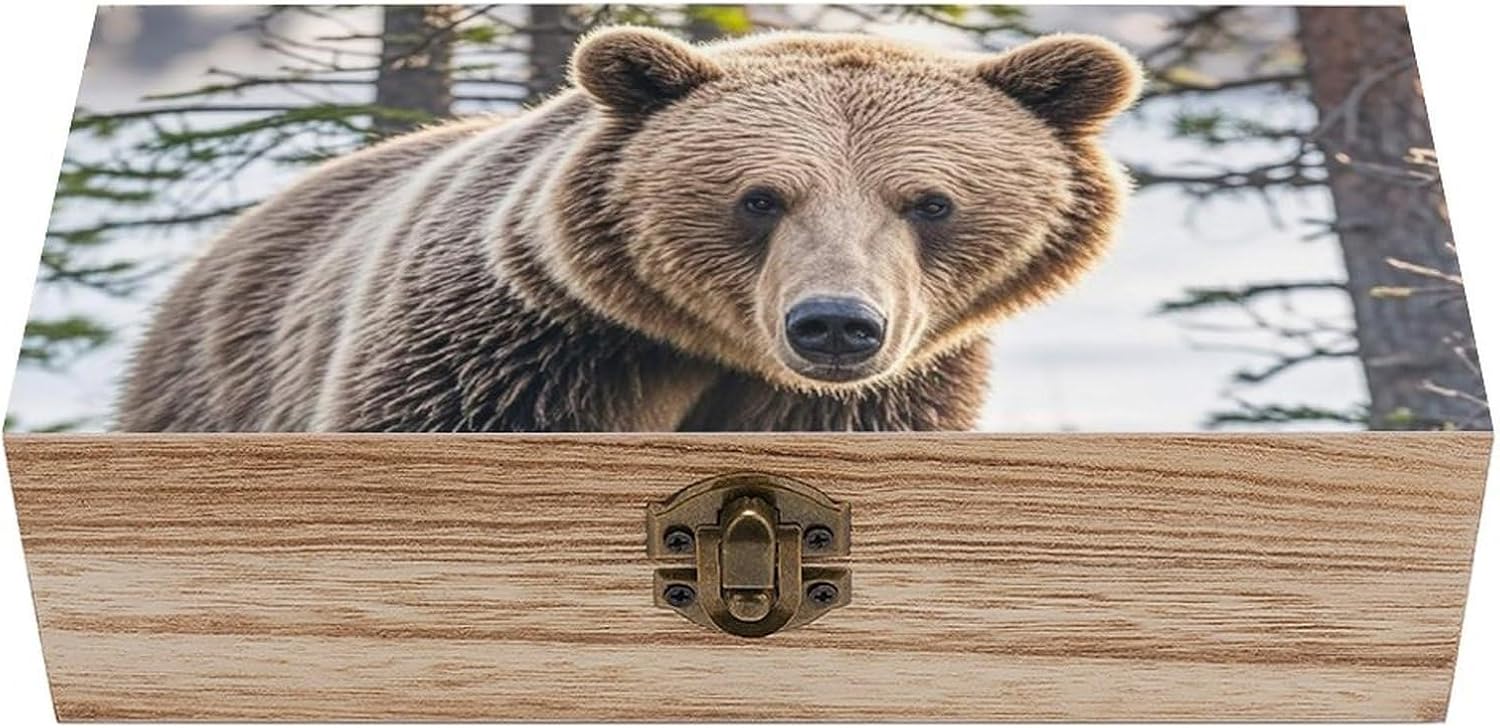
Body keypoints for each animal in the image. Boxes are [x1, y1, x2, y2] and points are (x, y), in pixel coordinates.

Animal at [116, 27, 1143, 432]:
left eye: (929, 202)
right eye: (760, 197)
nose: (835, 324)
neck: (710, 351)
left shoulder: (884, 392)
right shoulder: (521, 352)